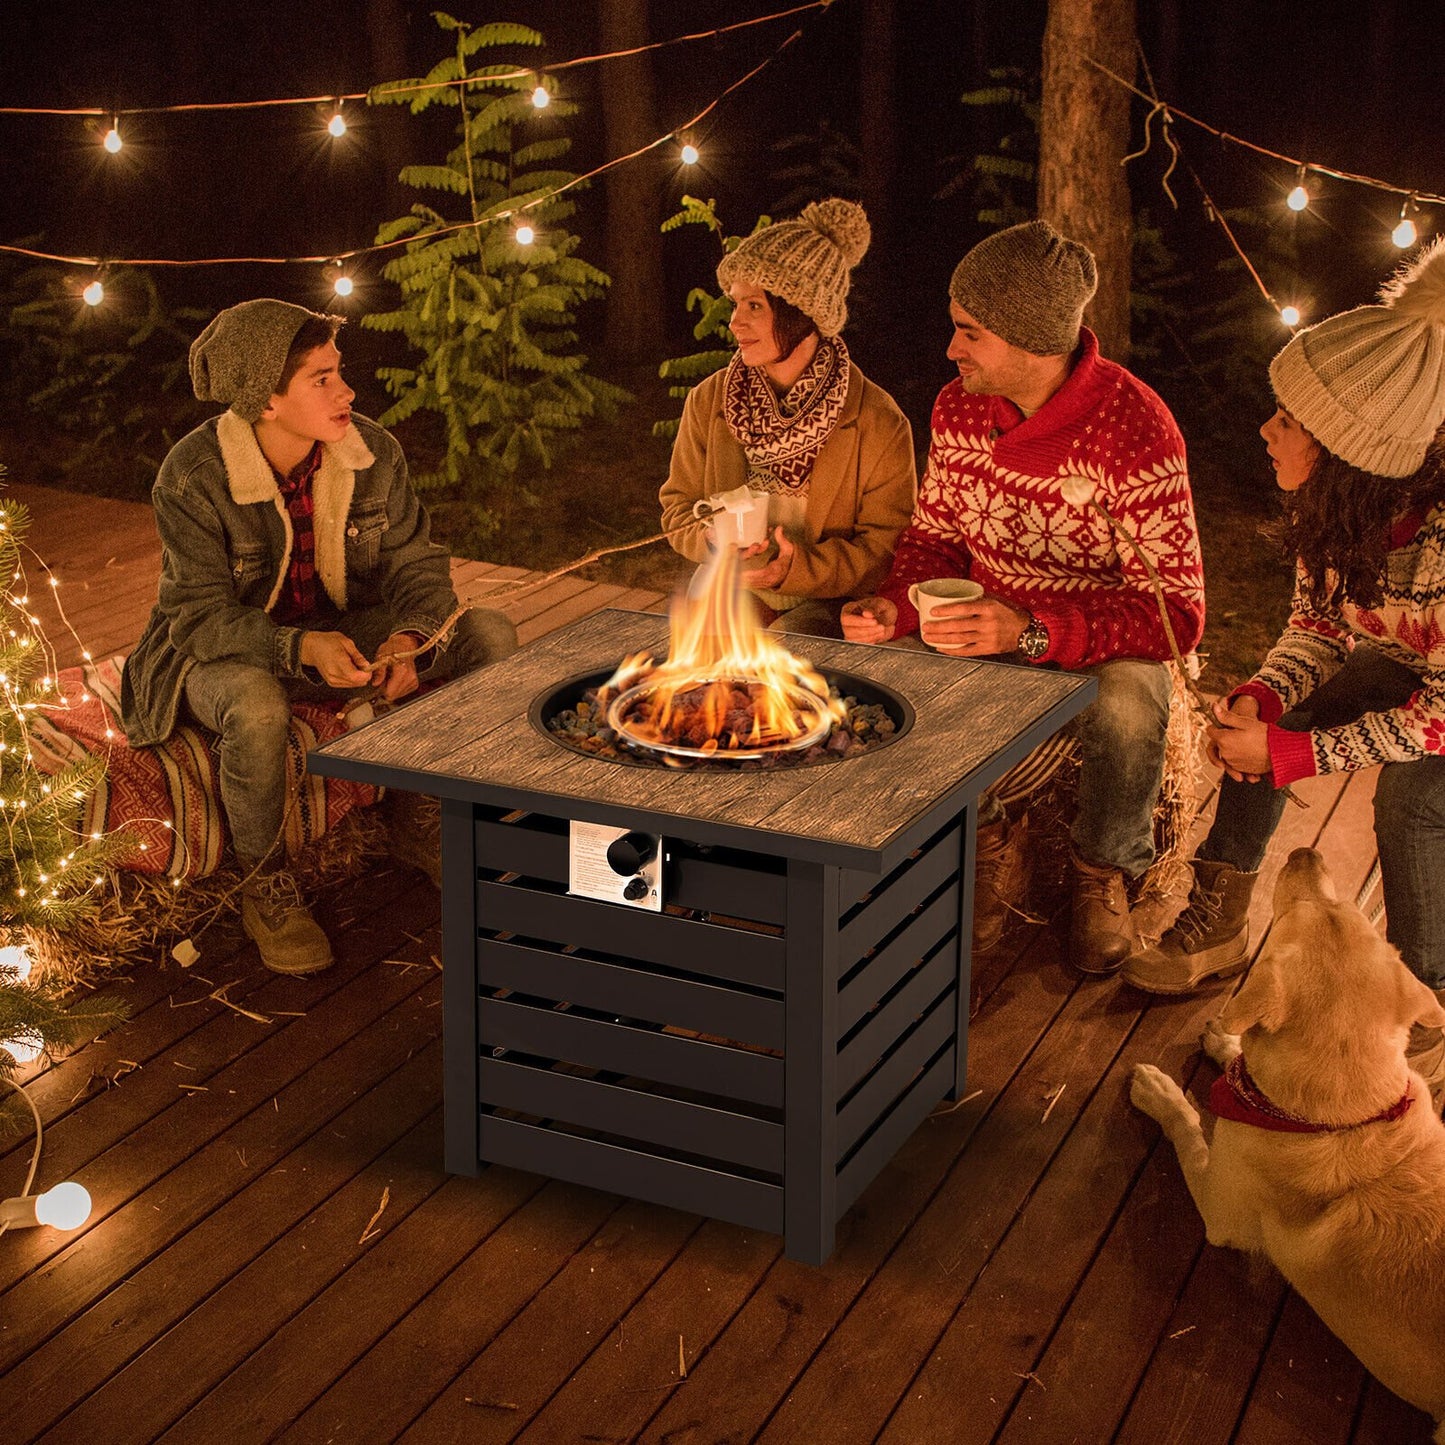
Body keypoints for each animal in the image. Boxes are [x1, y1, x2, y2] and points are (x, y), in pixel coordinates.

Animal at [1132, 843, 1445, 1433]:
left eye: (1298, 912)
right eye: (1341, 910)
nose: (1305, 851)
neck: (1349, 1113)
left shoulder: (1220, 1208)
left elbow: (1189, 1126)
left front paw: (1160, 1092)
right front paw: (1225, 1043)